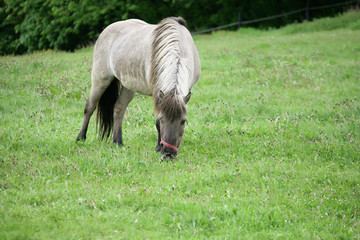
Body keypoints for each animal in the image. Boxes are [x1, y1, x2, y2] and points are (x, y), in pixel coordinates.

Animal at [75, 16, 201, 159]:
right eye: (162, 119)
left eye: (183, 121)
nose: (168, 154)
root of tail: (107, 29)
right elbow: (156, 122)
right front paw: (158, 147)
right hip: (100, 79)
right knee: (90, 106)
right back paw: (81, 138)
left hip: (128, 86)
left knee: (118, 108)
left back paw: (117, 141)